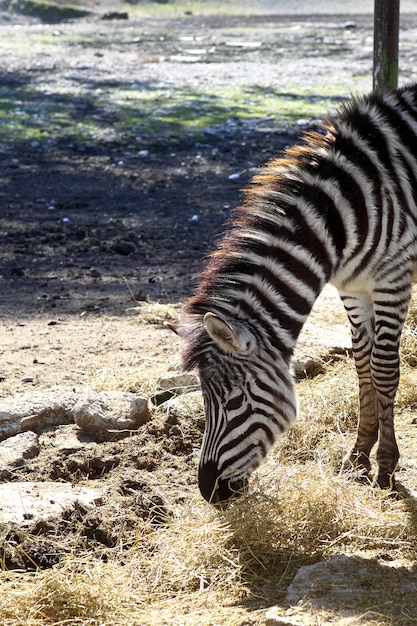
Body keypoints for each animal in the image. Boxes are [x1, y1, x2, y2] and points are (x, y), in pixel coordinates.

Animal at [171, 83, 416, 504]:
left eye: (234, 401)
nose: (208, 490)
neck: (341, 219)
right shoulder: (352, 288)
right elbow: (362, 362)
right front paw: (357, 456)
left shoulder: (392, 280)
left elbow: (384, 370)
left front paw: (385, 468)